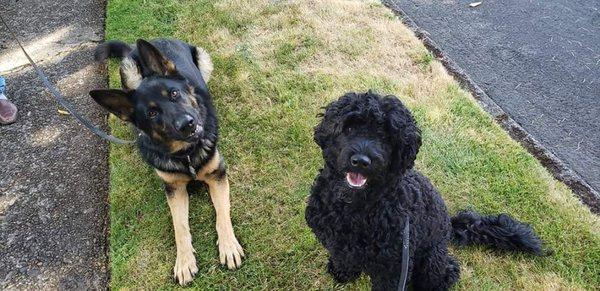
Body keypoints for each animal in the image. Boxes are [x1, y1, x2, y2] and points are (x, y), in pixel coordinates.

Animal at [91, 38, 244, 286]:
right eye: (152, 113)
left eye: (173, 93)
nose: (187, 124)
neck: (187, 154)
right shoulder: (174, 189)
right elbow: (179, 227)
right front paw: (184, 262)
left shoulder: (217, 176)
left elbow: (223, 213)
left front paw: (229, 246)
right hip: (129, 72)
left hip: (204, 60)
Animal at [304, 92, 544, 291]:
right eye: (349, 128)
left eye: (386, 137)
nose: (361, 161)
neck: (355, 208)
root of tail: (450, 225)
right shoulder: (336, 242)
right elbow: (342, 258)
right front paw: (342, 274)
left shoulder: (394, 265)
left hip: (431, 261)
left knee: (446, 273)